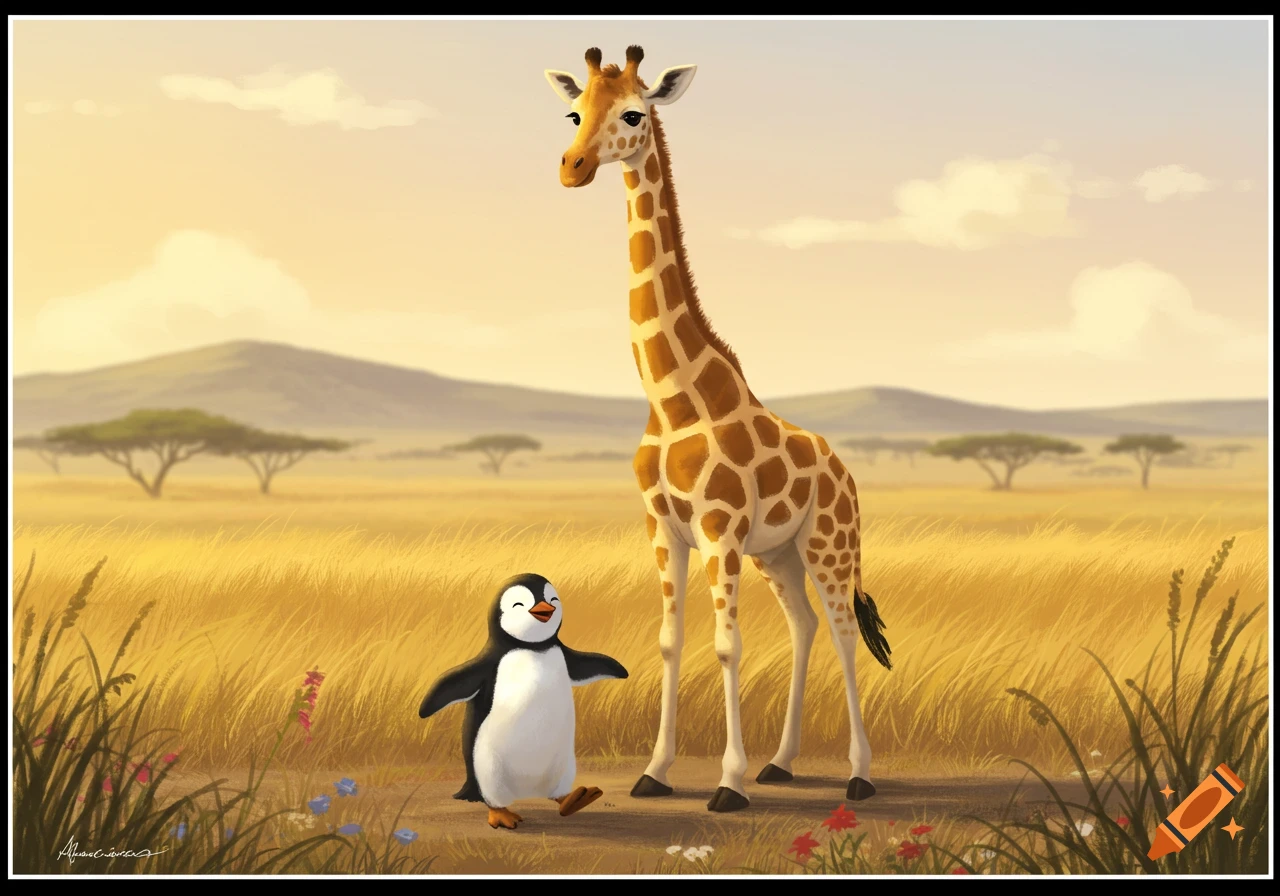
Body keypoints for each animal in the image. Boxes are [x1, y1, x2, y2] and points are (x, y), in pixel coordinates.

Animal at [545, 46, 893, 812]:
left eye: (634, 113)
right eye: (574, 112)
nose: (572, 167)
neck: (673, 399)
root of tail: (845, 471)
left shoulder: (718, 528)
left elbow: (728, 645)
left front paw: (727, 783)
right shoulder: (665, 528)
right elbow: (670, 641)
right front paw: (655, 771)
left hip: (827, 543)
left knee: (844, 629)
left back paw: (858, 774)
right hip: (779, 554)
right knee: (804, 625)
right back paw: (782, 763)